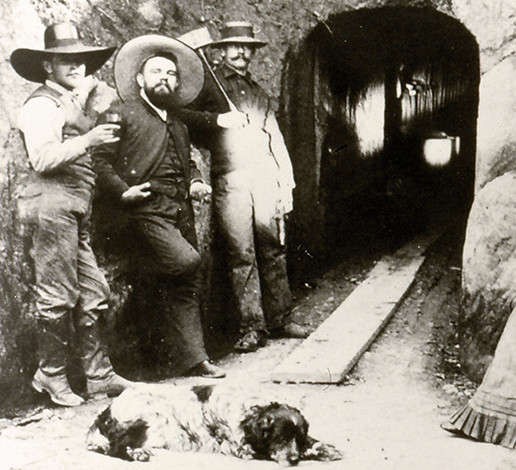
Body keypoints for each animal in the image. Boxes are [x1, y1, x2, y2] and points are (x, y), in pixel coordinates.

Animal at [85, 384, 342, 464]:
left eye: (296, 437)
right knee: (115, 447)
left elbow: (313, 441)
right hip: (146, 416)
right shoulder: (239, 447)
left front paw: (323, 448)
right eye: (280, 437)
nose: (294, 459)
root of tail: (104, 413)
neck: (249, 410)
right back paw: (136, 453)